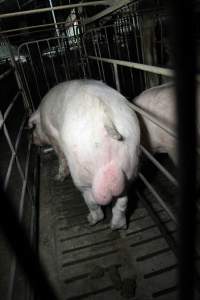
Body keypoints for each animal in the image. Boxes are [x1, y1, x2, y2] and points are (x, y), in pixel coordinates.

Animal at [28, 79, 140, 230]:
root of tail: (105, 117)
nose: (32, 140)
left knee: (93, 204)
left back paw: (90, 220)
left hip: (82, 173)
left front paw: (58, 178)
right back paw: (118, 226)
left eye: (34, 127)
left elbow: (60, 156)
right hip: (130, 162)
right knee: (122, 201)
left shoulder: (52, 135)